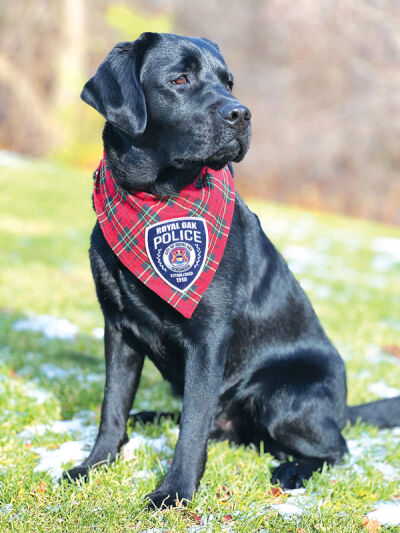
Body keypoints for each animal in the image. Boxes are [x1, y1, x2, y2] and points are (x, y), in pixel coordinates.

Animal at [64, 32, 400, 508]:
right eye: (180, 79)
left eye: (229, 82)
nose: (241, 113)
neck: (157, 200)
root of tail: (341, 409)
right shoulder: (118, 326)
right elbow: (112, 407)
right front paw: (92, 467)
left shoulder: (209, 337)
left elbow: (192, 426)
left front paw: (174, 493)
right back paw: (151, 416)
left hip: (280, 394)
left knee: (336, 448)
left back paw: (292, 469)